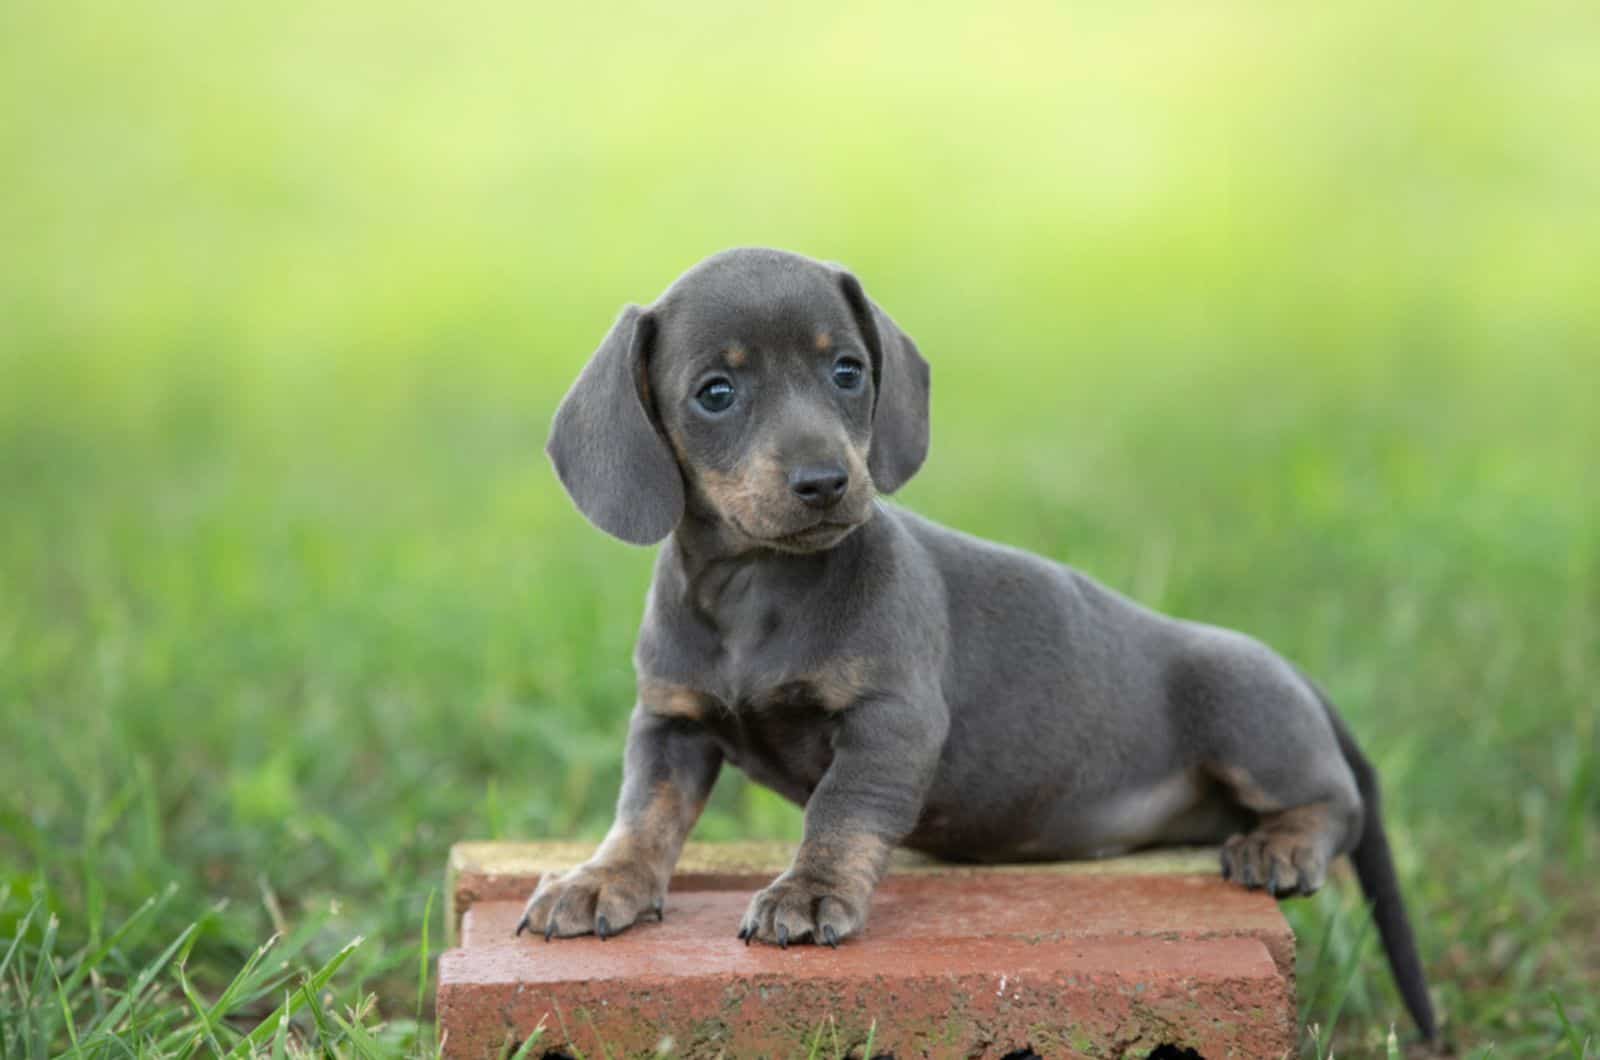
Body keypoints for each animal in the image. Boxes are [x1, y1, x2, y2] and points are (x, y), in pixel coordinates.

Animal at [524, 244, 1440, 1043]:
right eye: (714, 392)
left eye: (847, 371)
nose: (826, 483)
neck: (758, 593)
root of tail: (1296, 677)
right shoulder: (670, 723)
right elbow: (645, 813)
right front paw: (602, 880)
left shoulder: (891, 720)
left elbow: (841, 811)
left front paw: (810, 892)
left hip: (1247, 714)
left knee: (1338, 804)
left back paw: (1281, 845)